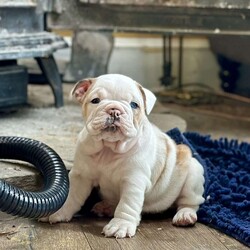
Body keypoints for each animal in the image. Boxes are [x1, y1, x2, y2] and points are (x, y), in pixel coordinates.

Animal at [40, 73, 205, 238]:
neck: (108, 148)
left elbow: (127, 205)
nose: (114, 110)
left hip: (193, 174)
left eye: (134, 105)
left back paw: (185, 215)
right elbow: (71, 195)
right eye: (95, 101)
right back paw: (106, 207)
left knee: (190, 202)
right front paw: (58, 211)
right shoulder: (81, 175)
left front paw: (120, 225)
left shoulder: (133, 181)